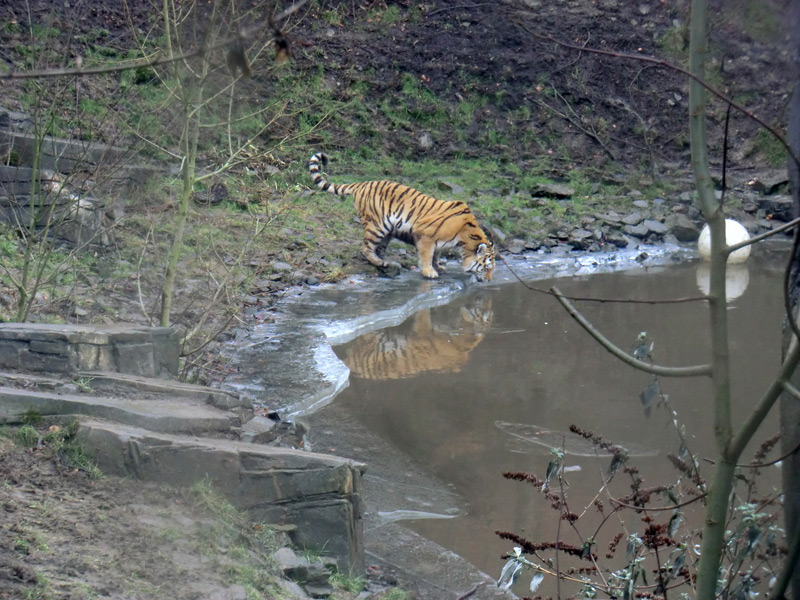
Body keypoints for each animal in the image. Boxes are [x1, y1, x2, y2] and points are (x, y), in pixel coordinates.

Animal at [308, 151, 490, 280]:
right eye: (487, 267)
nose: (489, 280)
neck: (464, 238)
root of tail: (362, 183)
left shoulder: (438, 242)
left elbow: (436, 255)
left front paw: (438, 267)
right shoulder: (426, 236)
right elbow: (427, 255)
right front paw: (429, 272)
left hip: (387, 230)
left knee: (378, 248)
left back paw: (386, 263)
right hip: (377, 226)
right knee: (365, 248)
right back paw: (379, 262)